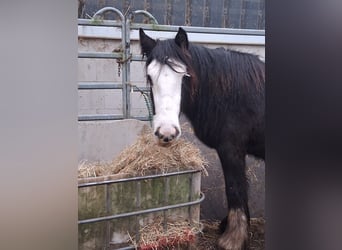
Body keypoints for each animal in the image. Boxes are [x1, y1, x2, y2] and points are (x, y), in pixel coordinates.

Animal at [139, 27, 264, 250]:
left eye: (184, 76)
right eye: (150, 77)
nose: (166, 132)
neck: (232, 95)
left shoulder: (231, 150)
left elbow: (235, 189)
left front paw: (233, 239)